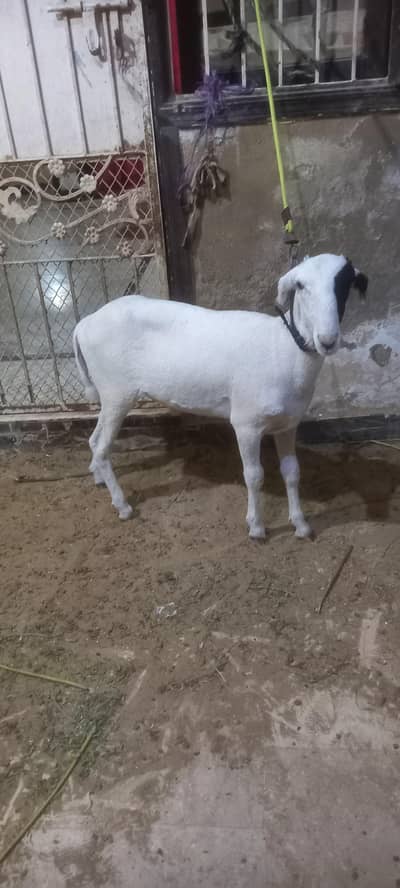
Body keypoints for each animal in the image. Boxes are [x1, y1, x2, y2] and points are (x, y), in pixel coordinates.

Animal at [73, 253, 367, 538]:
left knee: (94, 440)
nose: (327, 340)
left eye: (345, 284)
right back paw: (122, 505)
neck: (283, 348)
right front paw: (256, 527)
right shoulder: (246, 423)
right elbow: (254, 476)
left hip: (110, 395)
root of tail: (84, 324)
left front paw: (301, 525)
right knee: (102, 448)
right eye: (301, 286)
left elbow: (292, 473)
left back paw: (99, 478)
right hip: (117, 391)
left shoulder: (287, 424)